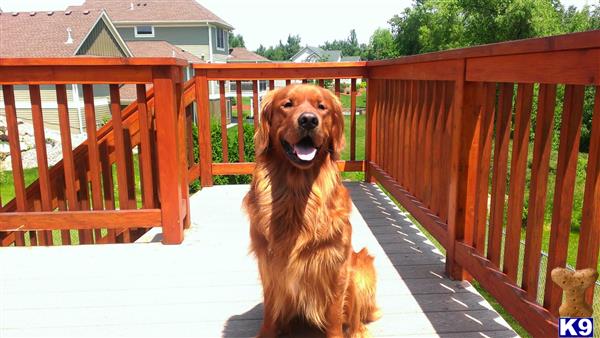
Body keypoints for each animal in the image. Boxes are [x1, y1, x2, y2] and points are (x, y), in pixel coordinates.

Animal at [241, 84, 378, 338]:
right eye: (287, 104)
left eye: (321, 107)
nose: (308, 120)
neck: (298, 195)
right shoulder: (269, 266)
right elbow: (270, 311)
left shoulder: (335, 266)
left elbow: (334, 316)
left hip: (360, 268)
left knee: (355, 321)